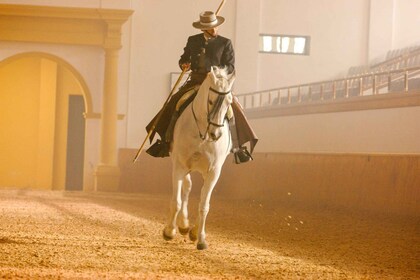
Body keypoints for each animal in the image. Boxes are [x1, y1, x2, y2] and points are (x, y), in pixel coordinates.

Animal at [162, 66, 235, 250]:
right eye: (210, 101)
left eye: (228, 102)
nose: (216, 134)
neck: (202, 132)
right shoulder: (179, 166)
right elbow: (176, 201)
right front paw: (169, 231)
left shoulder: (213, 172)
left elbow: (204, 205)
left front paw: (200, 238)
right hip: (180, 165)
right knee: (187, 188)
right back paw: (182, 225)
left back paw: (190, 229)